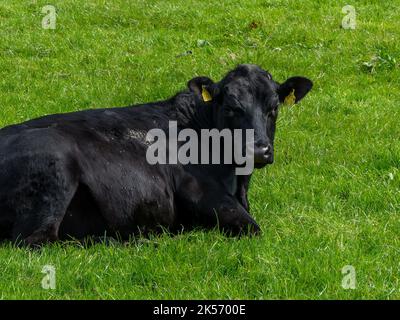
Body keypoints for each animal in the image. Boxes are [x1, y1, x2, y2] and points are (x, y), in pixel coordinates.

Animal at [0, 64, 312, 245]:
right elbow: (253, 229)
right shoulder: (203, 194)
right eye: (231, 107)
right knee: (38, 241)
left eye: (274, 107)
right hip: (55, 172)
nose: (258, 149)